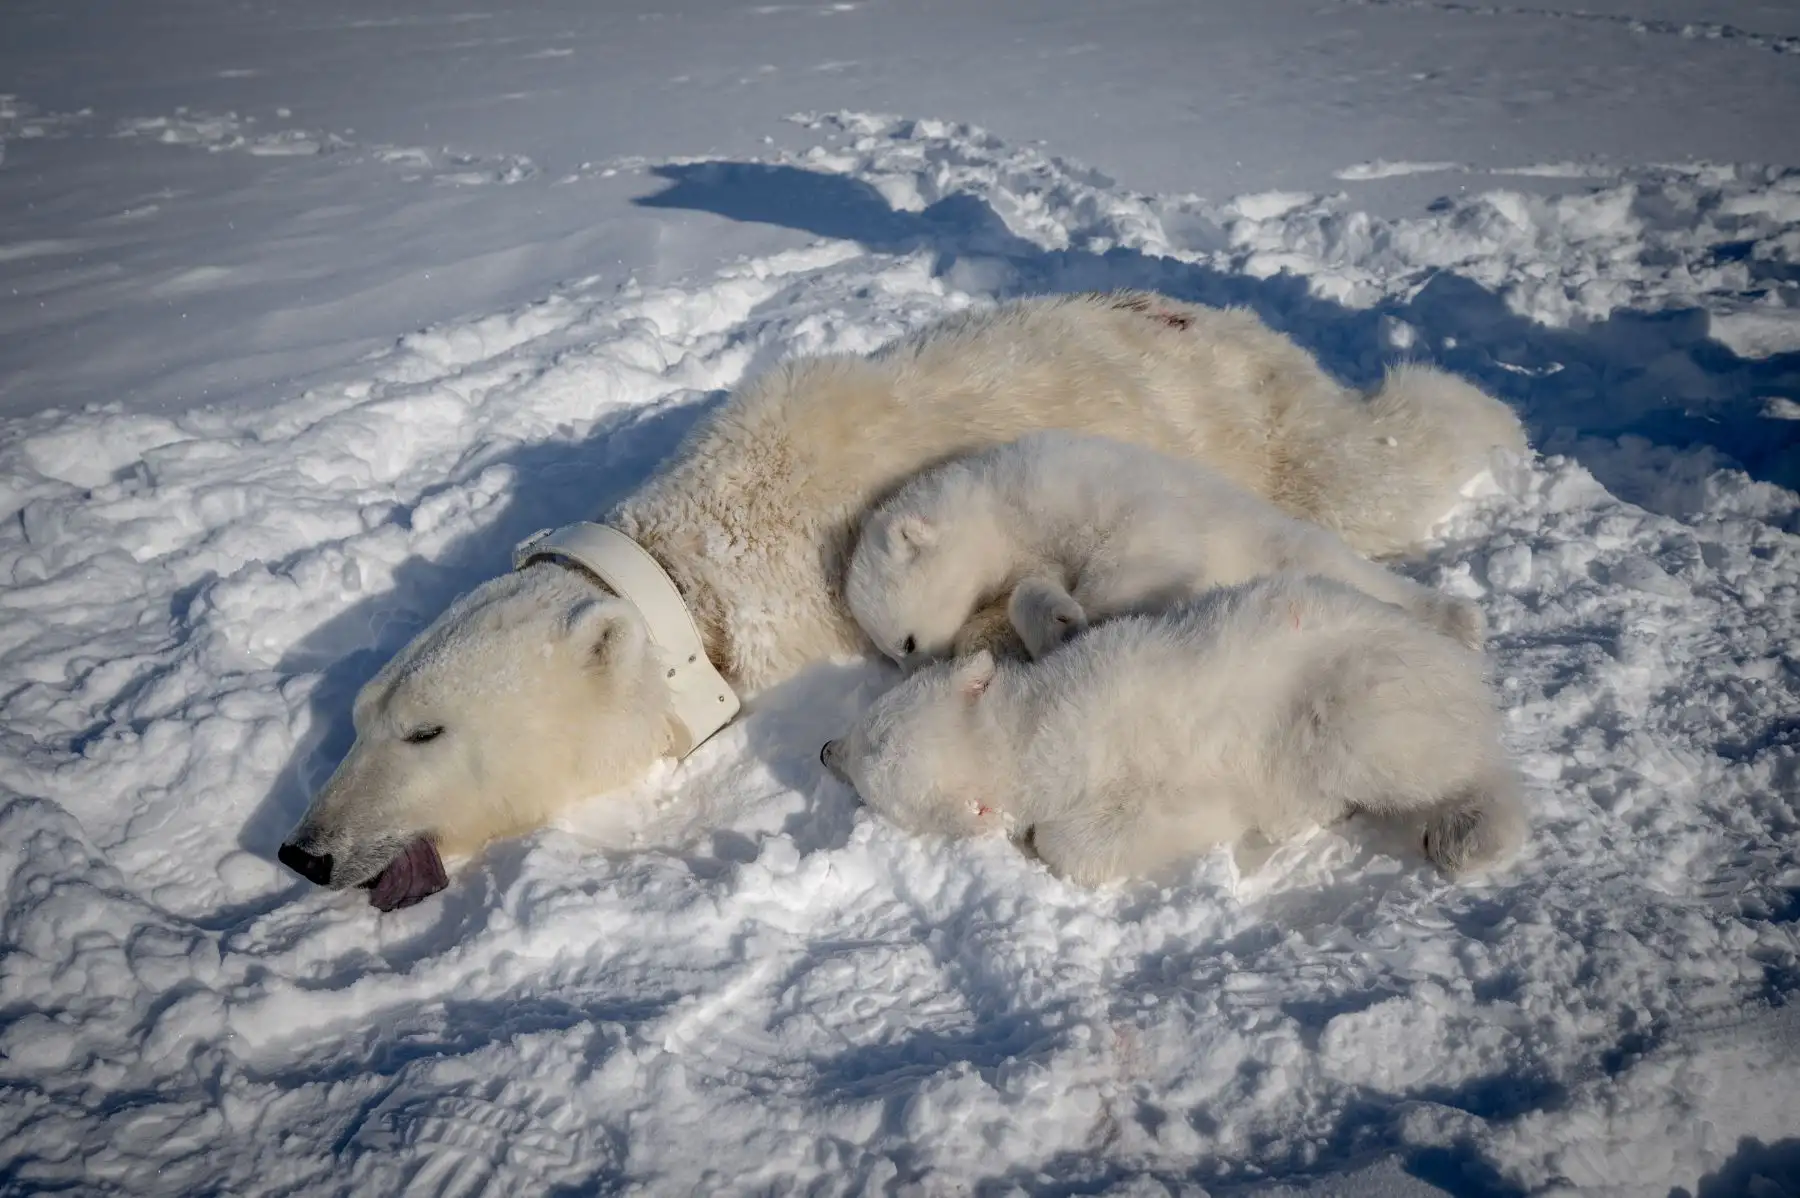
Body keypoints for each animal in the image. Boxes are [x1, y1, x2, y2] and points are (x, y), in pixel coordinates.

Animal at [821, 572, 1528, 885]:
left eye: (866, 765)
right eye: (865, 729)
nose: (825, 748)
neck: (1035, 724)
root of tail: (1460, 674)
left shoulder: (1154, 773)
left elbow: (1099, 836)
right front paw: (1053, 614)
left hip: (1367, 694)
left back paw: (1465, 835)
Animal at [843, 429, 1486, 669]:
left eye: (906, 641)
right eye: (891, 652)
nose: (924, 670)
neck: (997, 501)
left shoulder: (1070, 487)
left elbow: (1146, 540)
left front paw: (1097, 610)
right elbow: (1030, 590)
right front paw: (1058, 620)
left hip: (1277, 536)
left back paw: (1456, 617)